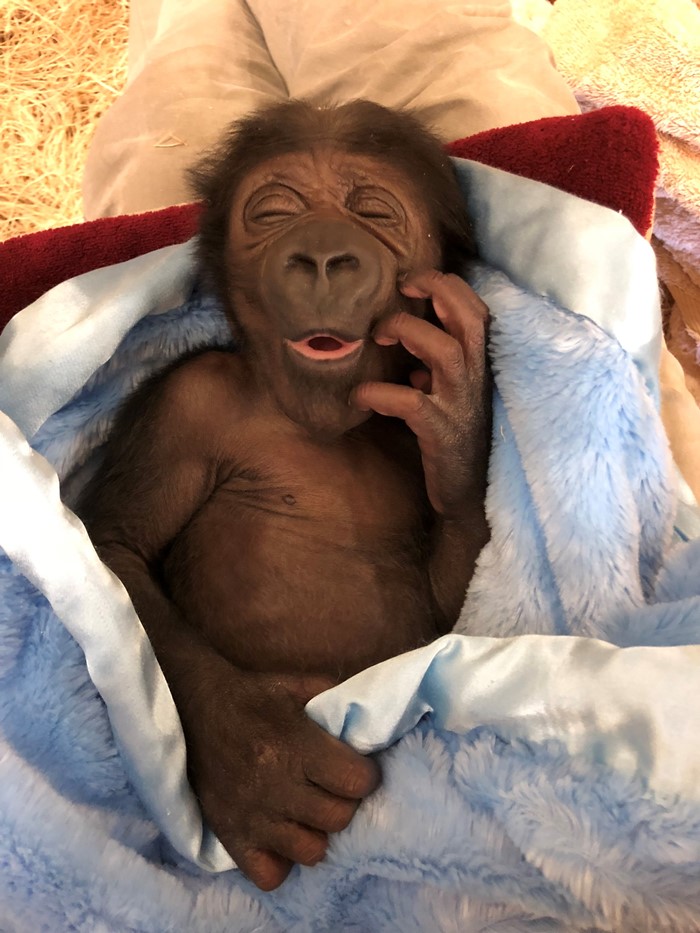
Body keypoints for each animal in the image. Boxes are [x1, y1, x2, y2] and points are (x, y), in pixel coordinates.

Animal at [78, 98, 492, 892]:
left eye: (373, 212)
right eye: (273, 213)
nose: (325, 253)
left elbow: (449, 609)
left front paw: (457, 415)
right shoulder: (188, 401)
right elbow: (117, 546)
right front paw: (255, 758)